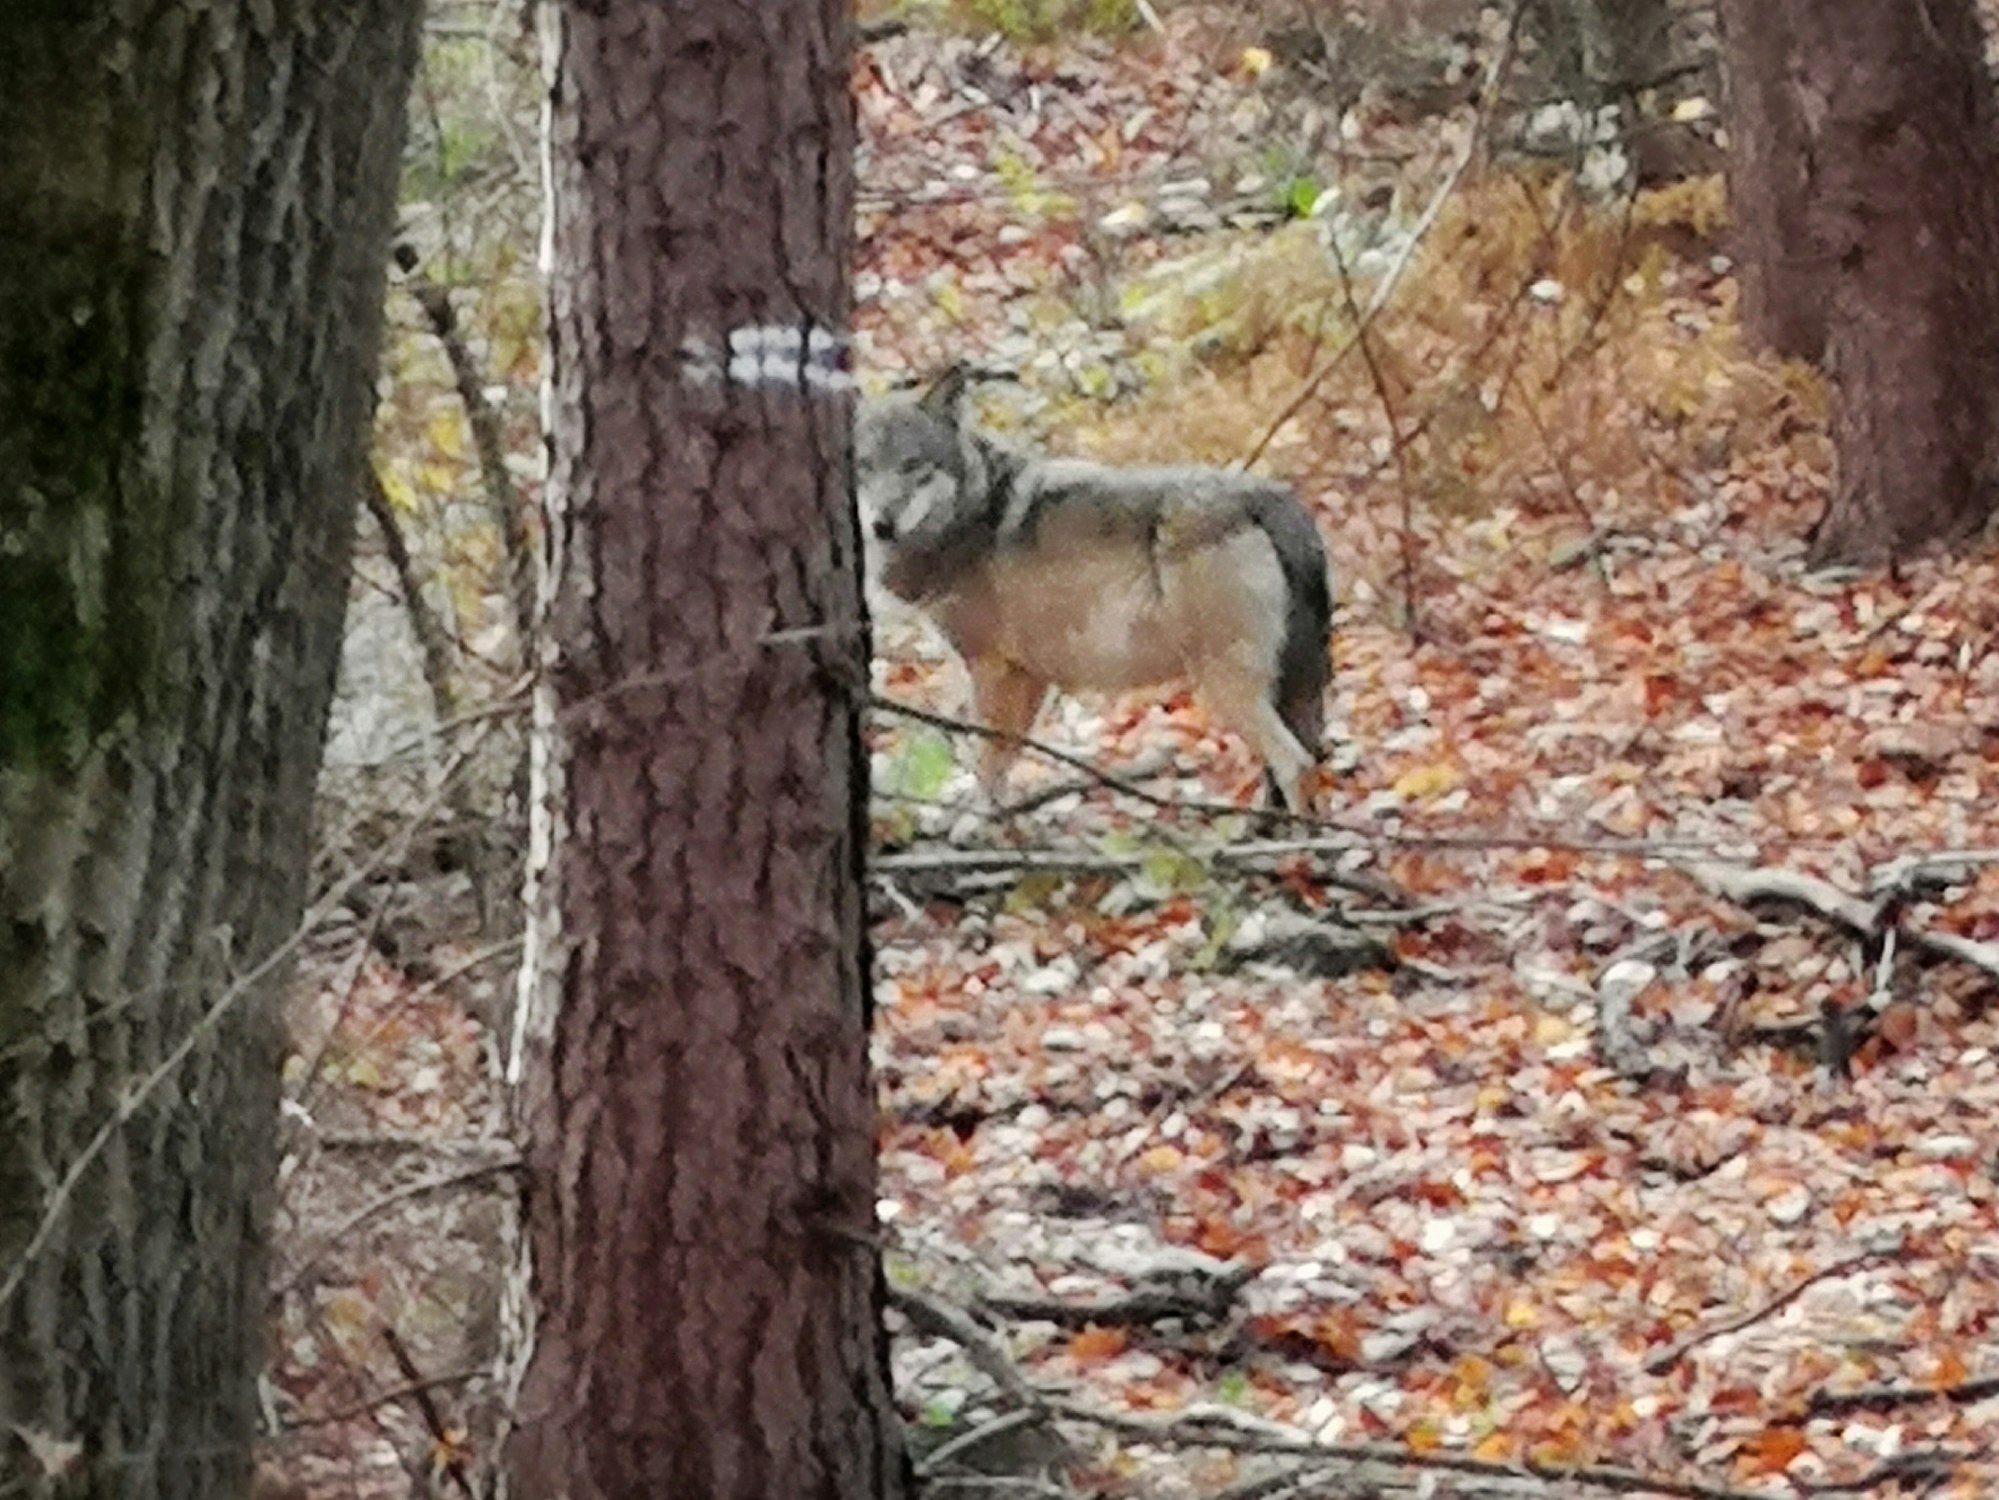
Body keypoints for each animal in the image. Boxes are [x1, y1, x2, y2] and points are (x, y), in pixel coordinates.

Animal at [854, 366, 1333, 812]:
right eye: (863, 467)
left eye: (912, 465)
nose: (881, 525)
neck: (971, 515)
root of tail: (1277, 499)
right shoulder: (1030, 677)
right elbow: (1007, 758)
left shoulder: (993, 669)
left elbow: (987, 760)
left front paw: (978, 823)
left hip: (1223, 686)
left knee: (1295, 762)